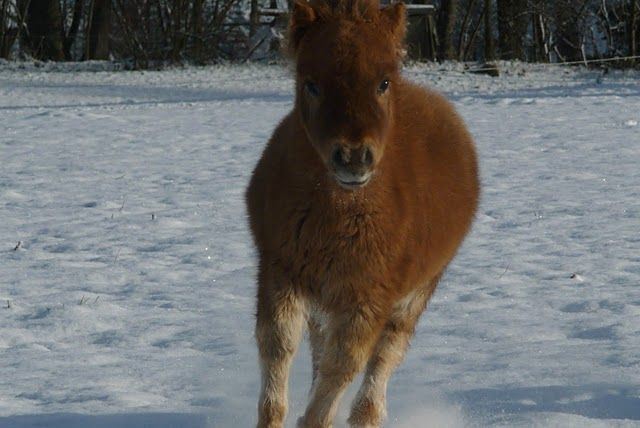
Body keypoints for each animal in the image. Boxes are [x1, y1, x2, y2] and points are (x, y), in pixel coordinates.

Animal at [246, 0, 479, 426]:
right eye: (311, 84)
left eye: (383, 82)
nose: (354, 157)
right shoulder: (280, 273)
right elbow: (278, 349)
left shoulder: (369, 297)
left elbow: (344, 366)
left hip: (414, 294)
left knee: (383, 360)